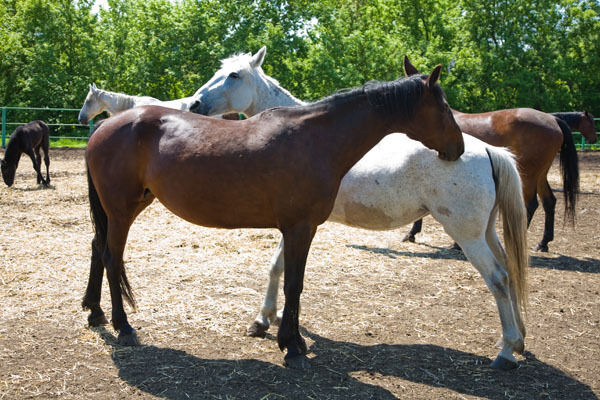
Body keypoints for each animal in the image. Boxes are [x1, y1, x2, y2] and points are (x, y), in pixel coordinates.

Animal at [83, 67, 464, 368]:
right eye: (444, 108)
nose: (458, 149)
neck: (316, 139)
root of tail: (105, 126)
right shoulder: (300, 228)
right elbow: (294, 283)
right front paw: (291, 345)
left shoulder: (298, 229)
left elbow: (290, 280)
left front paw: (287, 337)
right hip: (121, 210)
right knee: (112, 257)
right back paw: (123, 326)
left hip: (128, 207)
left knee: (98, 248)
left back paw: (95, 311)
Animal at [190, 48, 528, 370]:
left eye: (234, 75)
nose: (194, 104)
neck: (306, 138)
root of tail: (488, 150)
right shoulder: (294, 225)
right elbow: (278, 267)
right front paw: (266, 319)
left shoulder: (299, 225)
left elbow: (284, 272)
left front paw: (272, 325)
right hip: (485, 231)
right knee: (509, 268)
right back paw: (518, 339)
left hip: (468, 236)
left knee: (498, 277)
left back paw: (506, 353)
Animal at [400, 57, 580, 250]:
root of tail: (553, 119)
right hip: (540, 174)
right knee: (549, 201)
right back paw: (544, 242)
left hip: (529, 174)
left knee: (531, 205)